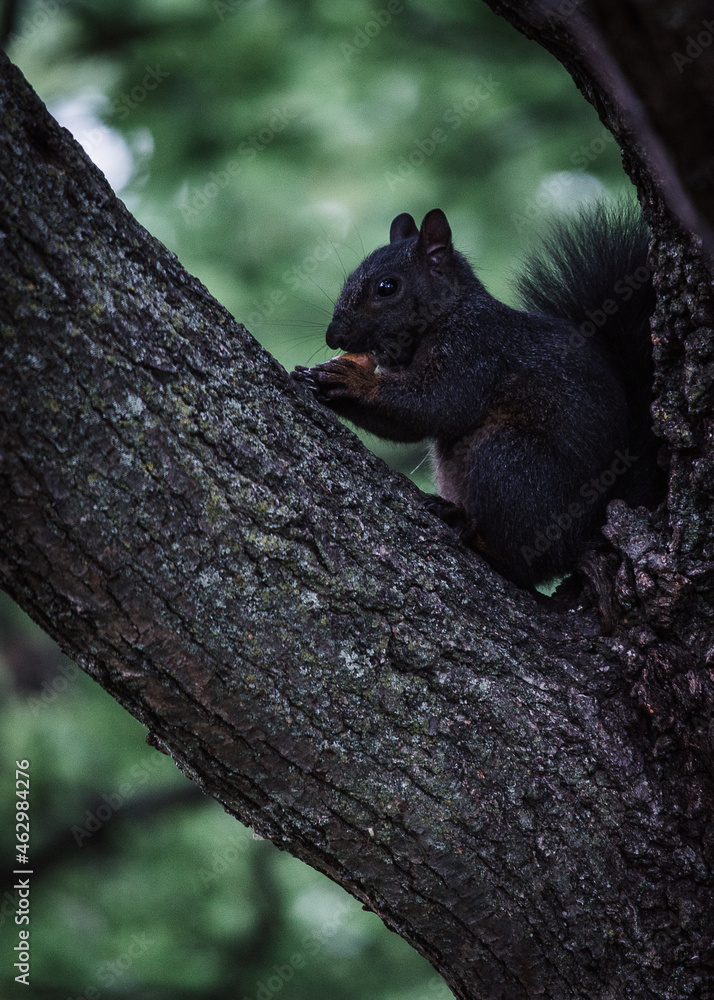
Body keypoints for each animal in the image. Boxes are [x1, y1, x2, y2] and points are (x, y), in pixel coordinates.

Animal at [291, 204, 665, 588]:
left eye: (387, 287)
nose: (334, 336)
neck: (450, 312)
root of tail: (587, 532)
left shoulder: (474, 351)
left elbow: (436, 405)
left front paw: (351, 380)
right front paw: (316, 382)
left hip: (511, 459)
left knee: (526, 563)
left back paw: (472, 532)